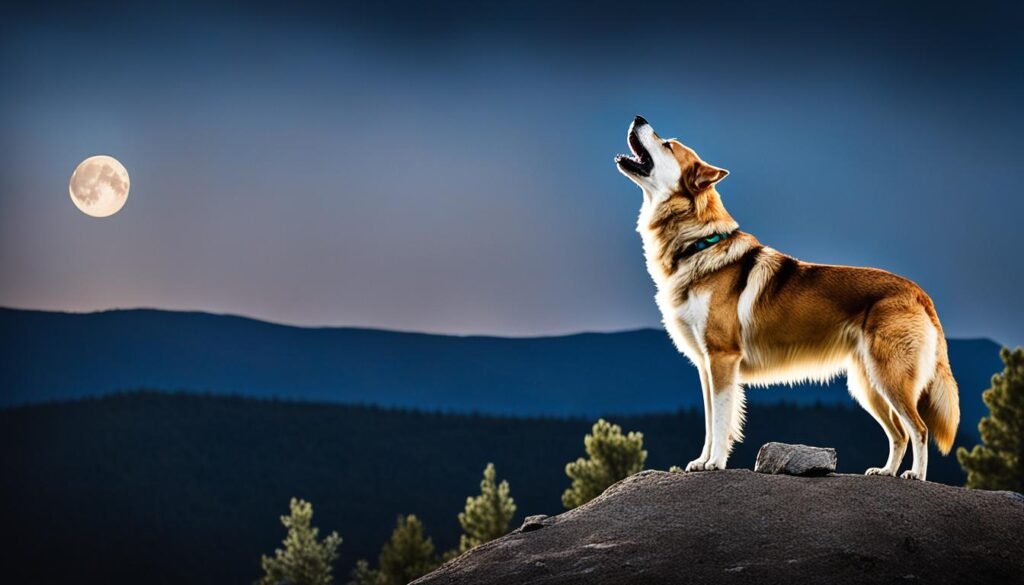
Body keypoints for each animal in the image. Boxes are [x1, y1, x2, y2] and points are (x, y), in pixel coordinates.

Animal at [614, 115, 958, 481]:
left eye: (667, 144)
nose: (638, 118)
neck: (697, 245)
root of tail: (919, 293)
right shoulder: (706, 367)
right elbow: (709, 423)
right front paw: (700, 461)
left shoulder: (723, 359)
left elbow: (721, 423)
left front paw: (715, 463)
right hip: (868, 386)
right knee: (899, 432)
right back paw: (885, 471)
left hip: (889, 378)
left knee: (919, 429)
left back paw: (915, 476)